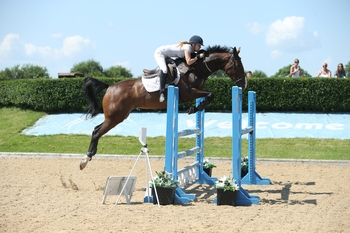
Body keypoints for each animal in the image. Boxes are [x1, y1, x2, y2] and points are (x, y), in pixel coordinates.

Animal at [80, 45, 247, 169]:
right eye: (238, 65)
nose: (244, 85)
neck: (195, 68)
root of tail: (109, 86)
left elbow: (209, 96)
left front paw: (196, 108)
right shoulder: (189, 93)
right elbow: (211, 95)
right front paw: (193, 109)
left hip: (116, 116)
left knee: (95, 130)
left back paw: (90, 155)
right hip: (115, 117)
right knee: (97, 132)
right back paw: (85, 159)